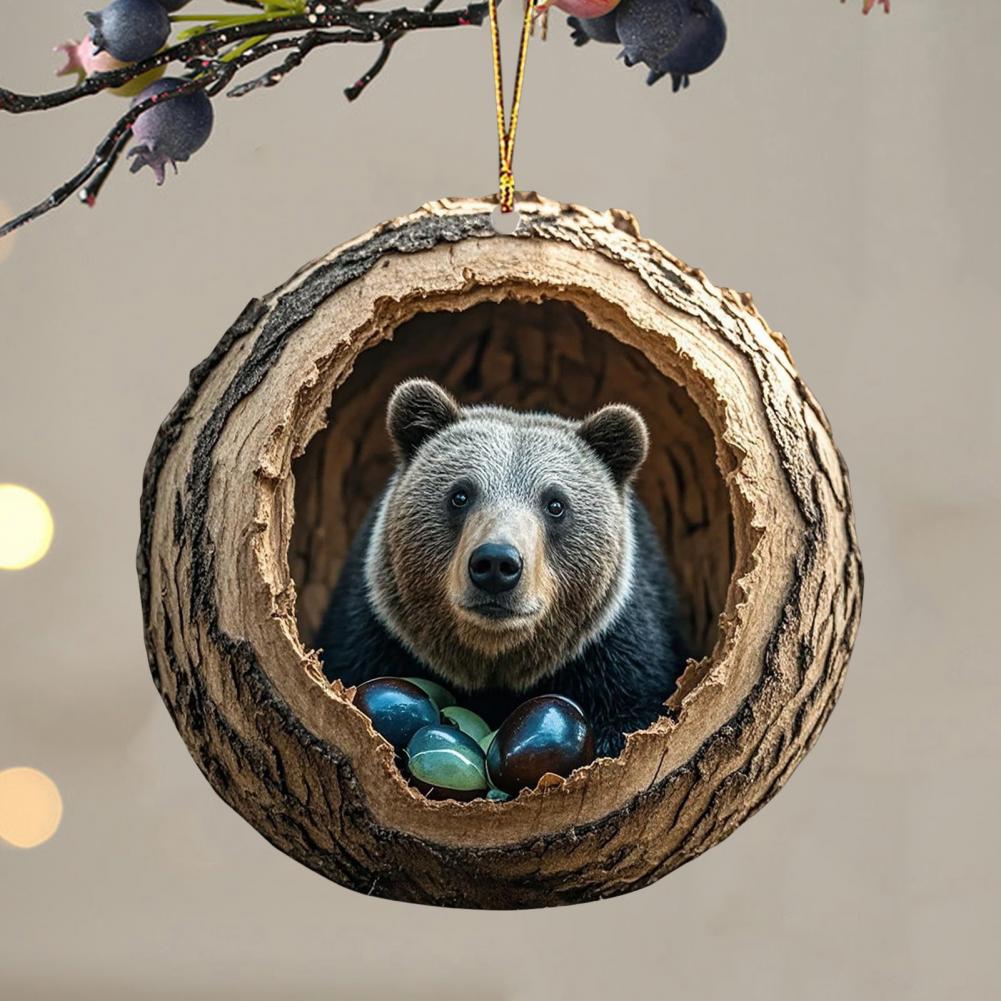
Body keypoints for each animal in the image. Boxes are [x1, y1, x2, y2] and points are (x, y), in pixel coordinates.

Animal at [317, 378, 685, 757]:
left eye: (555, 504)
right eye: (460, 495)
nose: (496, 563)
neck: (494, 656)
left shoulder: (616, 652)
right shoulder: (371, 633)